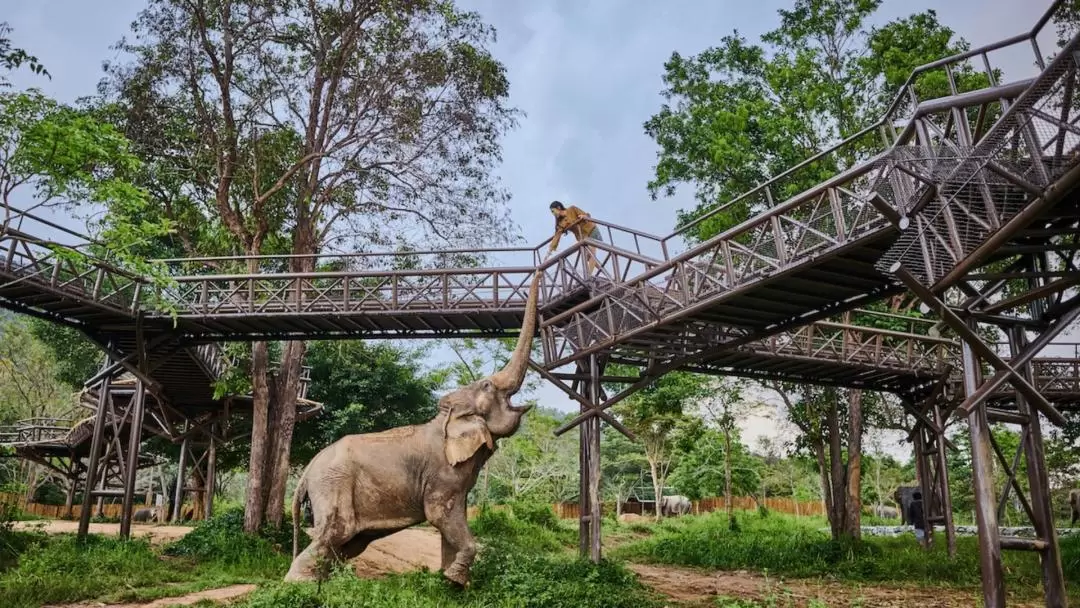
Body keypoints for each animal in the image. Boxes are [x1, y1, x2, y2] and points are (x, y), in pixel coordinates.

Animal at [285, 273, 544, 587]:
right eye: (487, 386)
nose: (539, 270)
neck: (446, 417)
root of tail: (307, 471)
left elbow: (453, 518)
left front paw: (451, 583)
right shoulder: (442, 474)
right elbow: (440, 515)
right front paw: (455, 579)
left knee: (345, 543)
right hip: (333, 486)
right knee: (334, 533)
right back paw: (299, 586)